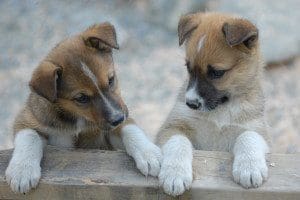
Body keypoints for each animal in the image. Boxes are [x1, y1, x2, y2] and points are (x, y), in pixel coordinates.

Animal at [5, 22, 162, 194]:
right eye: (81, 98)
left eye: (111, 80)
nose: (118, 118)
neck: (78, 120)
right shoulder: (27, 118)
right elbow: (29, 136)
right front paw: (22, 171)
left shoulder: (109, 136)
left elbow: (131, 129)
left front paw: (149, 155)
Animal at [156, 12, 270, 195]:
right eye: (188, 68)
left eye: (217, 73)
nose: (191, 104)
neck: (220, 111)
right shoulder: (173, 126)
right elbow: (178, 142)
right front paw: (175, 174)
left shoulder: (258, 131)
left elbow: (248, 136)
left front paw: (249, 168)